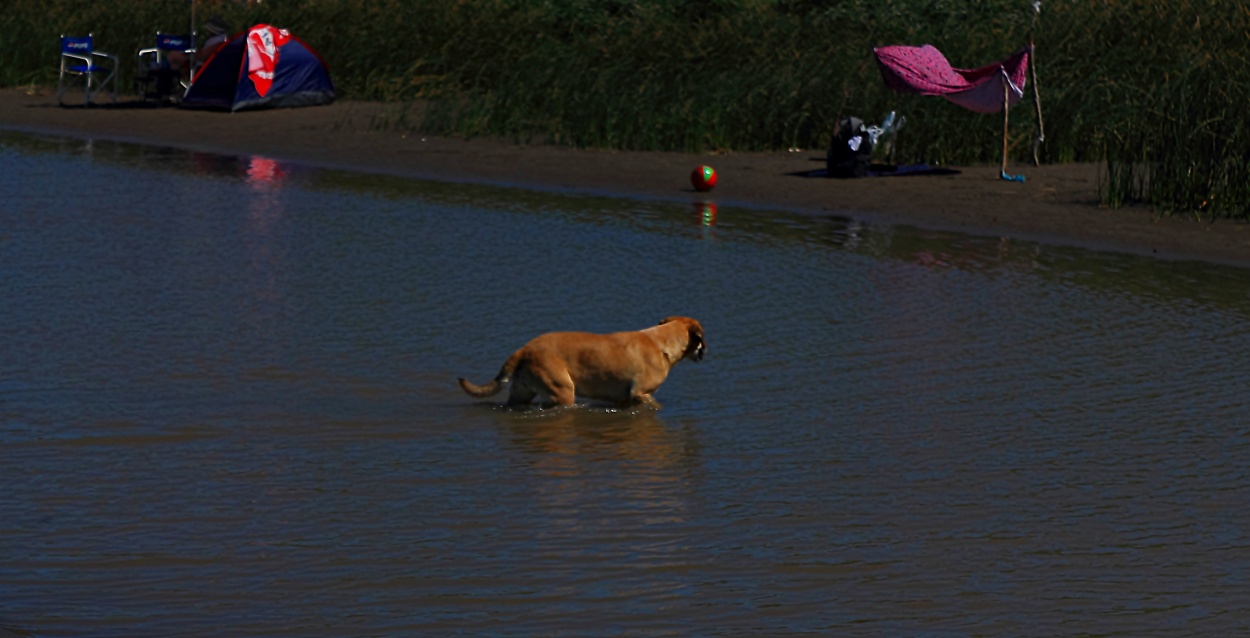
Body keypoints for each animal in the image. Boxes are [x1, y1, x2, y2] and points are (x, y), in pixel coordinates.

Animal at [460, 315, 710, 407]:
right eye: (703, 338)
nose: (706, 351)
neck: (661, 342)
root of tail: (524, 349)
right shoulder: (641, 393)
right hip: (562, 391)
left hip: (522, 392)